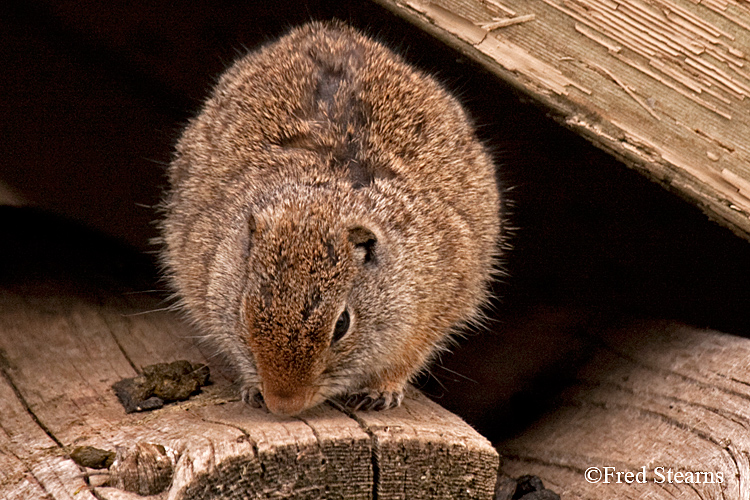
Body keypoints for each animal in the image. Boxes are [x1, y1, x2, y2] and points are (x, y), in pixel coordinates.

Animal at [162, 21, 502, 416]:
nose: (284, 404)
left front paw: (381, 393)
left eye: (342, 324)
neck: (322, 205)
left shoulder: (437, 309)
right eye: (244, 311)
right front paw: (252, 388)